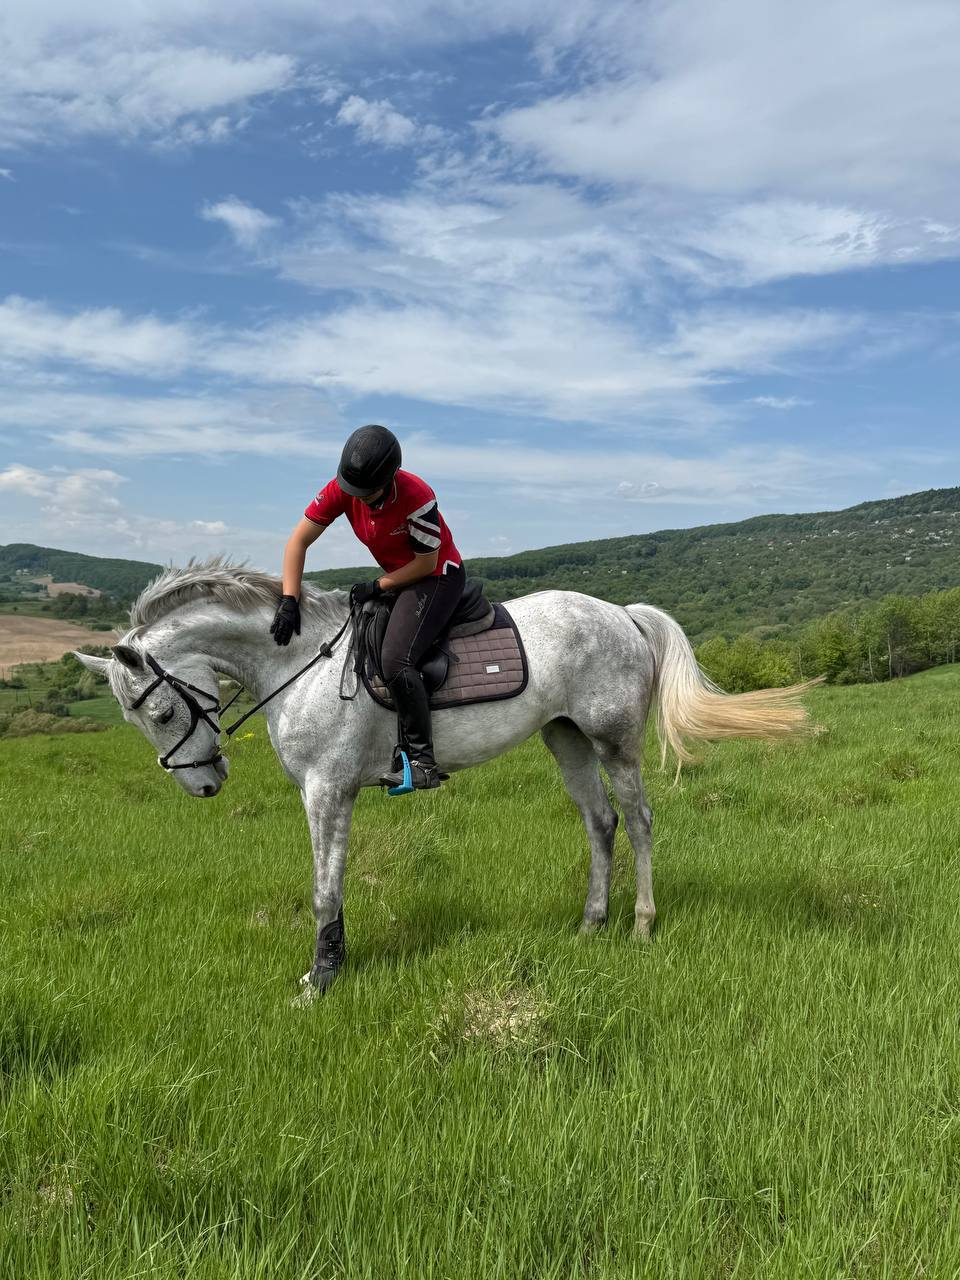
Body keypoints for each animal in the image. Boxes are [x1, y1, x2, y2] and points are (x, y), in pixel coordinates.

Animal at [76, 560, 812, 997]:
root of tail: (621, 613)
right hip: (565, 738)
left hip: (613, 741)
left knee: (637, 822)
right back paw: (591, 923)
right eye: (142, 720)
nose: (204, 785)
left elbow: (324, 890)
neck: (301, 664)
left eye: (161, 711)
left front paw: (321, 978)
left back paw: (640, 924)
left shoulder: (327, 791)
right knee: (600, 823)